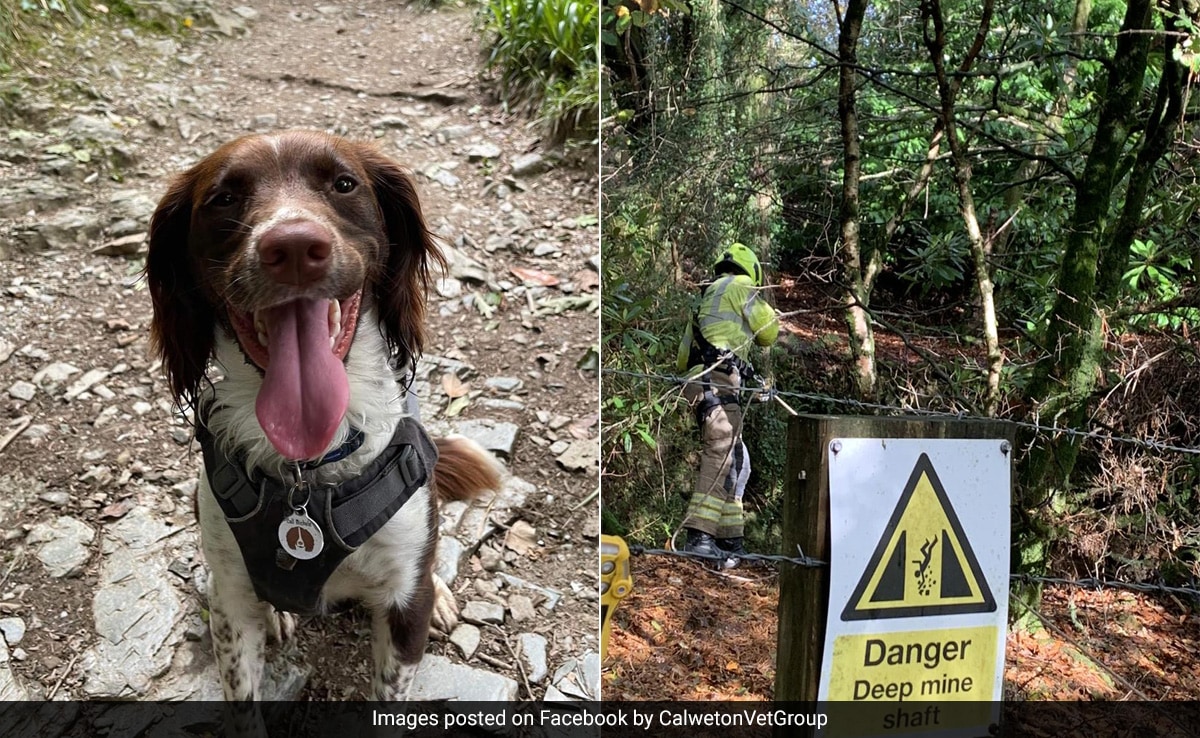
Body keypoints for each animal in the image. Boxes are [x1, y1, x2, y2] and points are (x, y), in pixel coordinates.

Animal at [146, 130, 501, 720]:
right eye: (223, 199)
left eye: (343, 184)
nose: (292, 248)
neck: (307, 473)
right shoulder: (229, 602)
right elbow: (244, 699)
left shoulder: (404, 604)